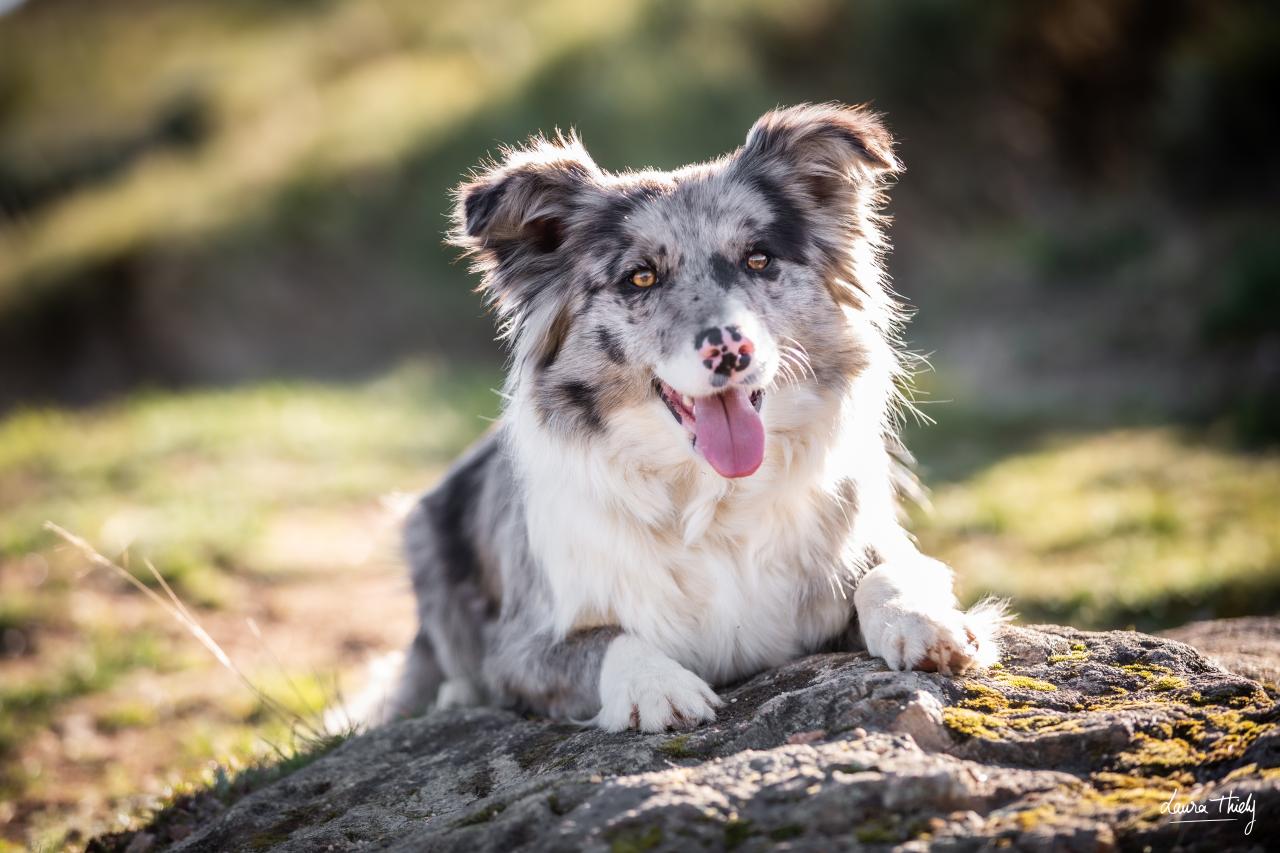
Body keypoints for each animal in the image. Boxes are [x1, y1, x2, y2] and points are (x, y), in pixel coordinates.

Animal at [373, 101, 1003, 732]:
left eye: (759, 259)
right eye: (641, 277)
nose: (731, 350)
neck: (709, 493)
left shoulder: (873, 550)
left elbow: (892, 571)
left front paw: (922, 622)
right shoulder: (519, 647)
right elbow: (607, 639)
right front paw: (656, 687)